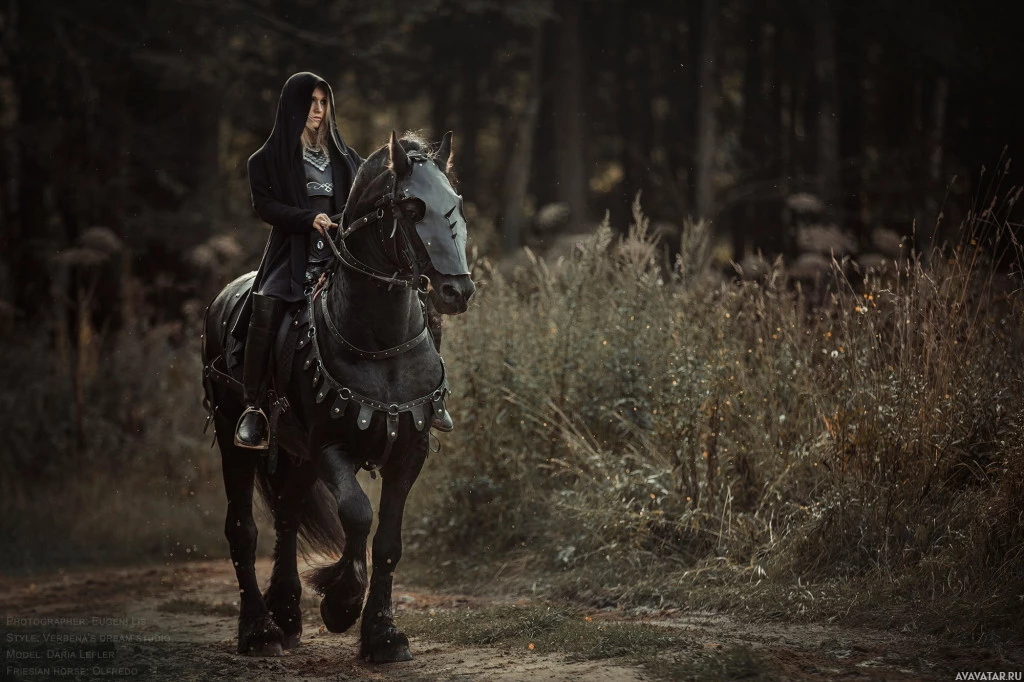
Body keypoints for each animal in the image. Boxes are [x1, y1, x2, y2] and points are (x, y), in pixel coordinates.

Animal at [201, 131, 477, 659]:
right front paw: (341, 604)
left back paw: (287, 613)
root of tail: (223, 299)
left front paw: (383, 635)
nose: (458, 292)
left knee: (287, 514)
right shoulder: (330, 445)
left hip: (297, 455)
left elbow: (387, 540)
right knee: (242, 529)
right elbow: (356, 513)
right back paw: (259, 630)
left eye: (454, 203)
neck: (379, 343)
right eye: (411, 207)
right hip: (234, 435)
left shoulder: (410, 449)